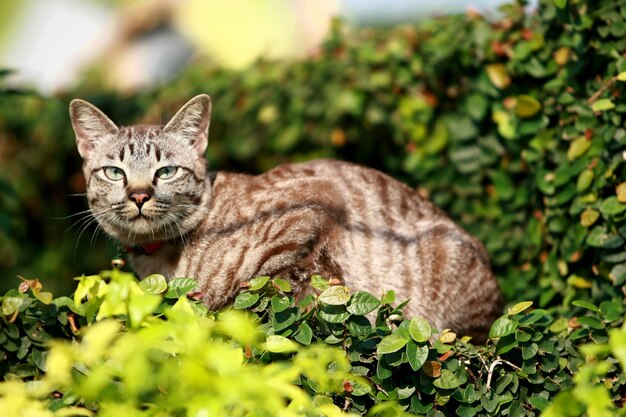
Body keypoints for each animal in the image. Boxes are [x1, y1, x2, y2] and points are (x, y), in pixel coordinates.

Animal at [68, 93, 500, 338]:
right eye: (115, 172)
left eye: (167, 171)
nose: (140, 194)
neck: (158, 257)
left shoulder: (315, 204)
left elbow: (269, 289)